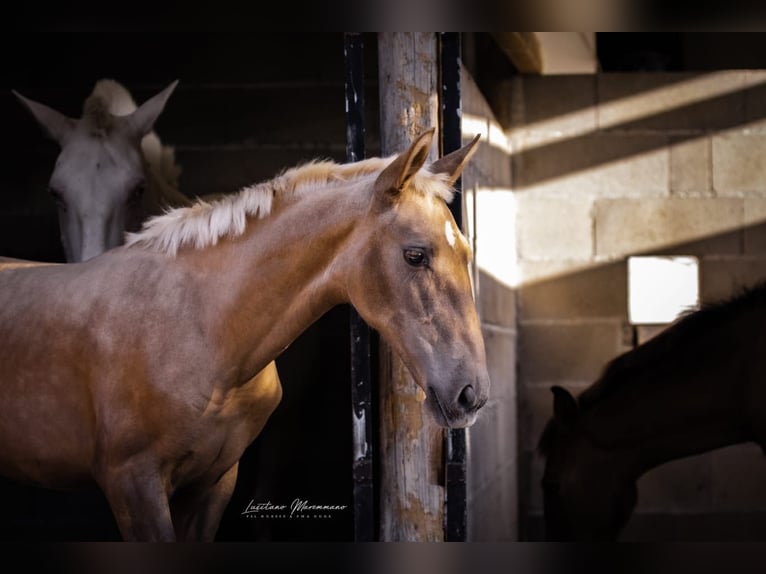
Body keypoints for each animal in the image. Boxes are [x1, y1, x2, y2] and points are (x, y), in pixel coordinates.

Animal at [0, 128, 492, 544]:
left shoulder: (214, 483)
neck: (202, 328)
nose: (473, 394)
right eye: (415, 255)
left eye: (467, 253)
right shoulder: (133, 486)